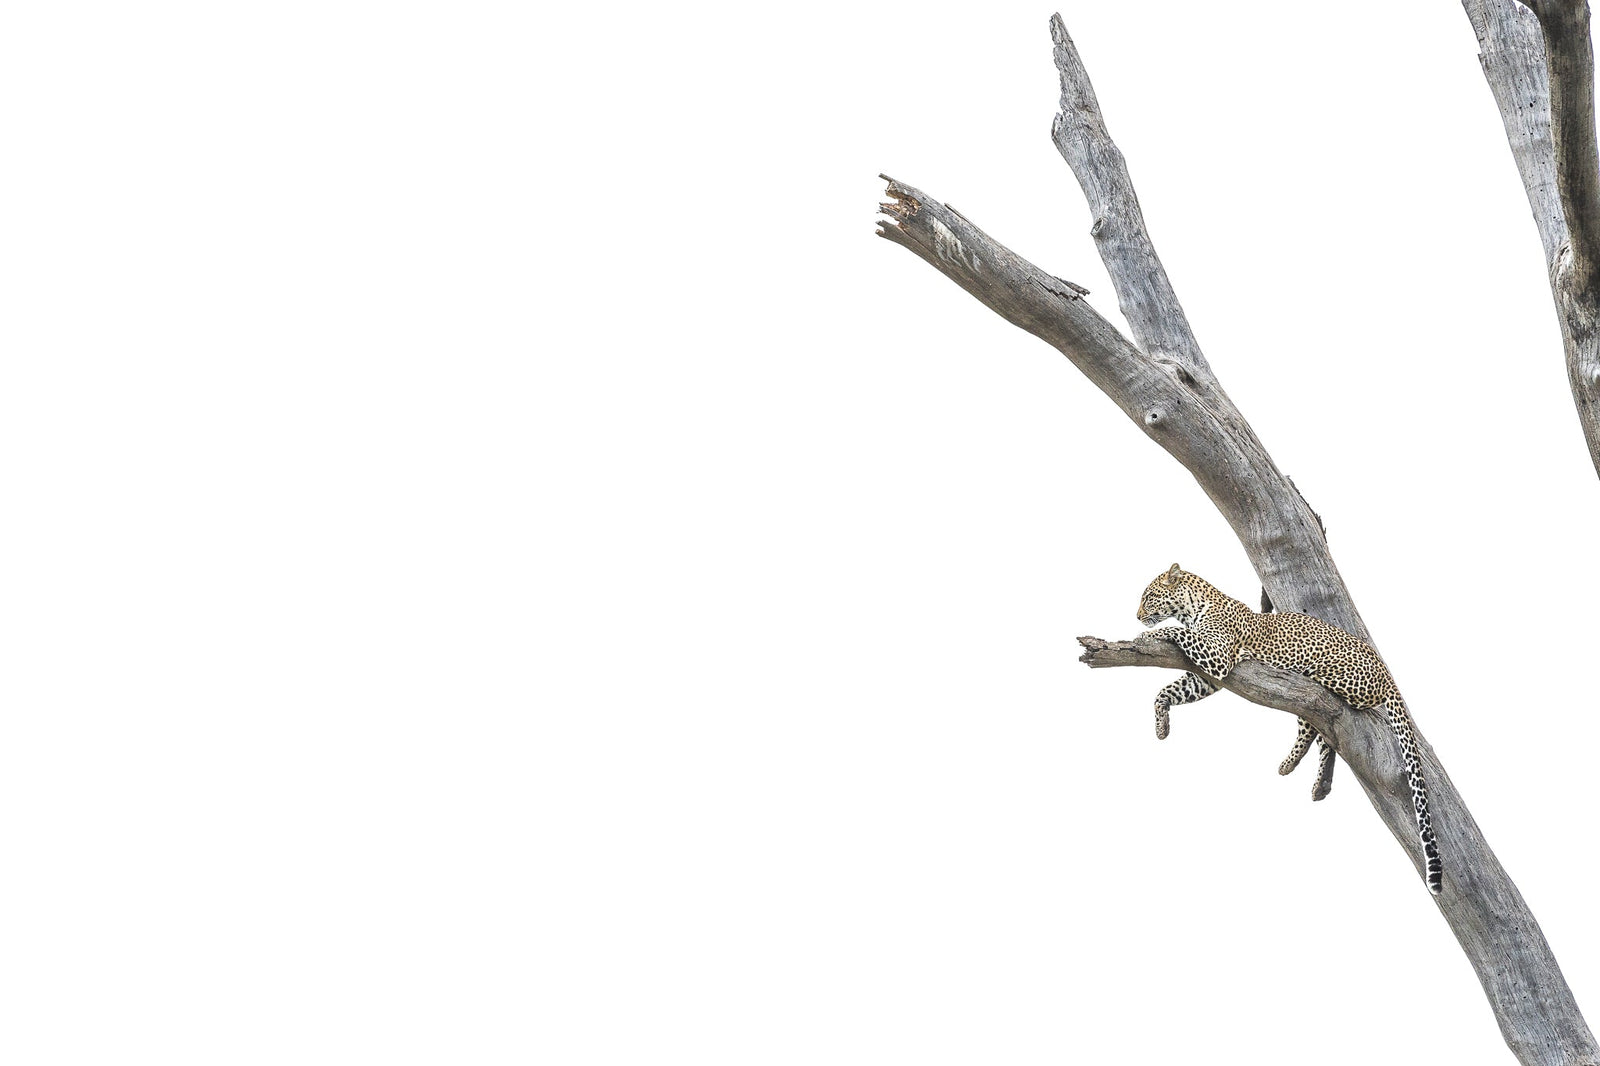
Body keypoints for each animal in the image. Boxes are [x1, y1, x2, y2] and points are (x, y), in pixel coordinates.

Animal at [1135, 563, 1443, 895]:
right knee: (1322, 735)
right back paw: (1312, 780)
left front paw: (1148, 634)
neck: (1191, 609)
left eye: (1149, 597)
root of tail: (1386, 671)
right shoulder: (1208, 677)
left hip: (1322, 675)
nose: (1137, 616)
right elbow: (1167, 691)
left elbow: (1180, 633)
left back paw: (1291, 764)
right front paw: (1161, 725)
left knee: (1316, 721)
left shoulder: (1217, 657)